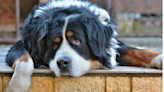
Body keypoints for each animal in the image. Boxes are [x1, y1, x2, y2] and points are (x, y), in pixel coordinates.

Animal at [4, 0, 162, 91]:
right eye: (54, 45)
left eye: (77, 41)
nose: (62, 63)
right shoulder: (20, 46)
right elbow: (25, 60)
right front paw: (17, 86)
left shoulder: (110, 45)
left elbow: (137, 51)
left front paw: (160, 58)